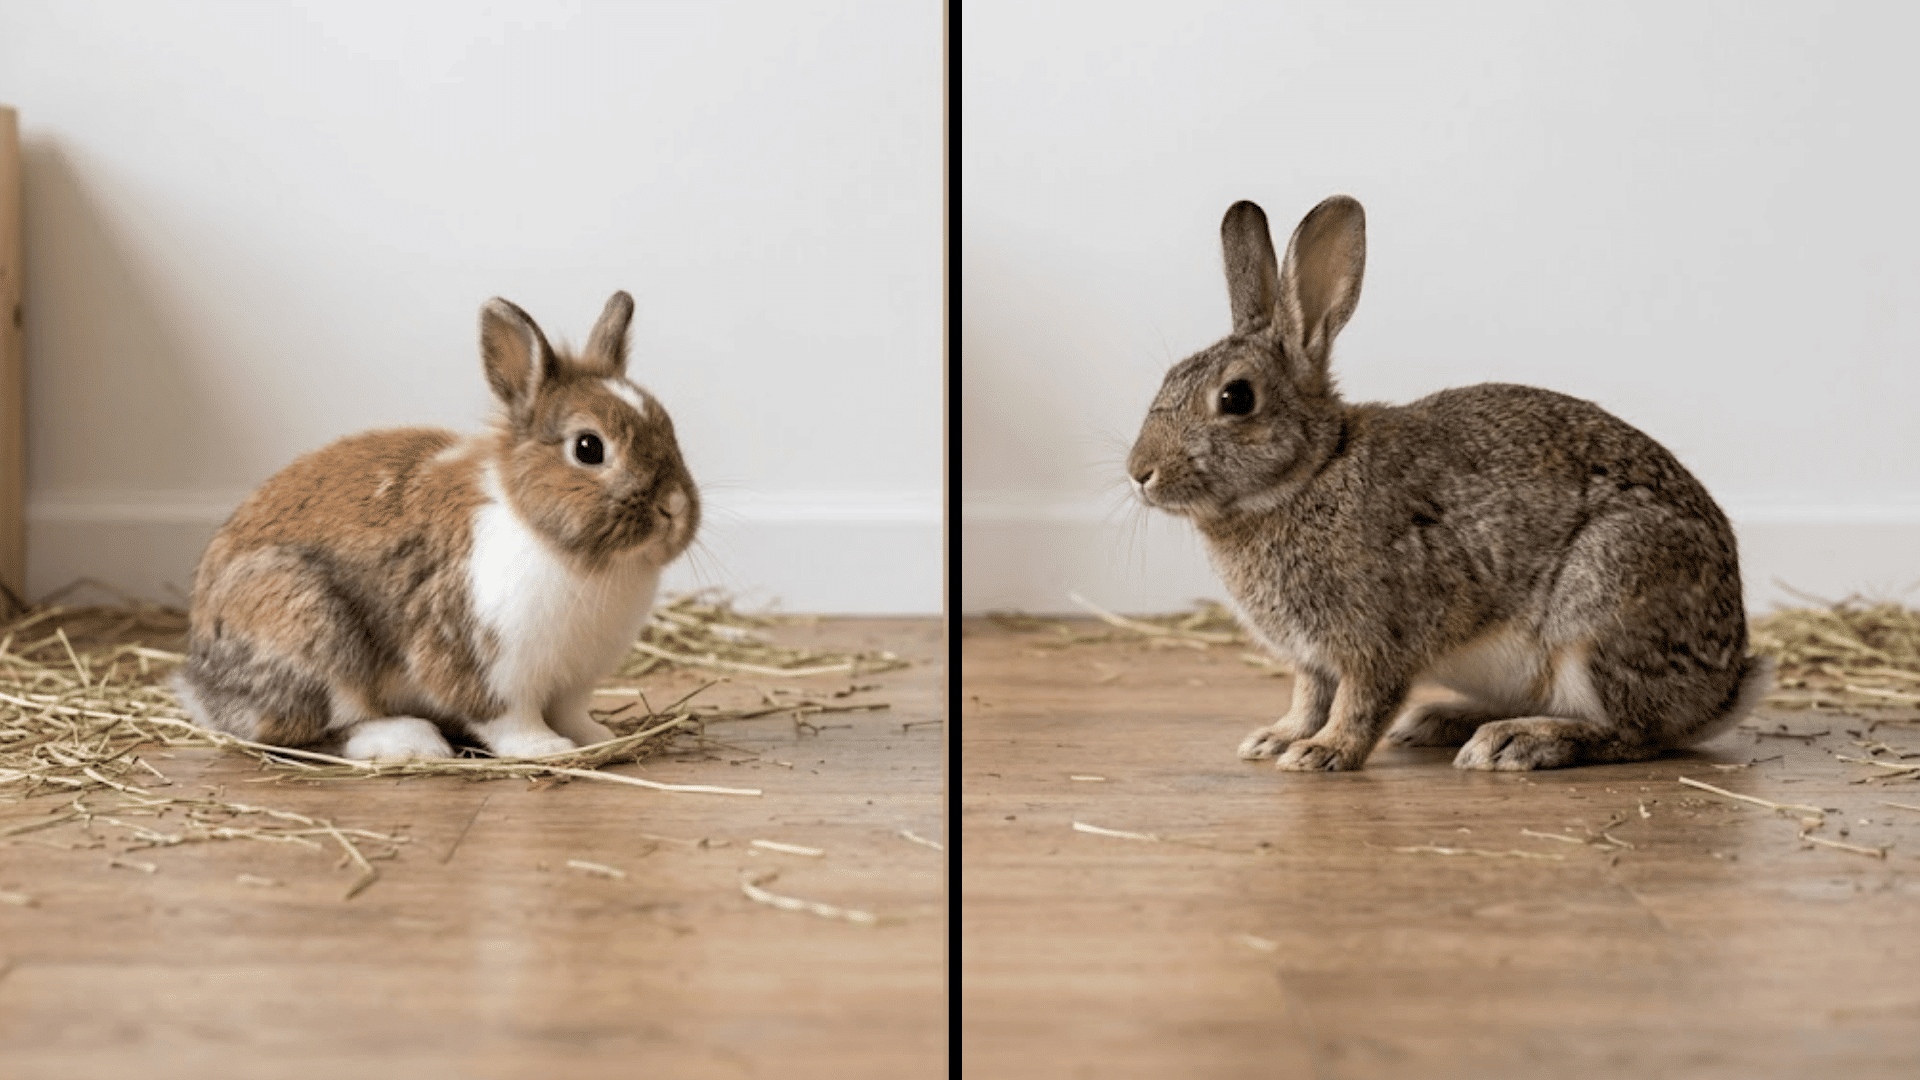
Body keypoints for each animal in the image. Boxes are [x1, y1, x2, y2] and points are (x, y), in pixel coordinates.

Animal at [172, 291, 700, 762]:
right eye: (588, 448)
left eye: (670, 429)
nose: (674, 508)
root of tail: (201, 687)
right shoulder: (484, 664)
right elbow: (509, 719)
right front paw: (545, 749)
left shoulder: (574, 680)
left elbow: (572, 713)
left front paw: (598, 737)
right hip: (311, 633)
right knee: (307, 729)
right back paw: (408, 742)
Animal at [1125, 196, 1772, 771]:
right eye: (1169, 377)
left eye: (1236, 398)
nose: (1139, 473)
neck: (1313, 471)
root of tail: (1722, 689)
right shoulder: (1312, 658)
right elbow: (1307, 697)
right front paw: (1276, 738)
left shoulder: (1377, 637)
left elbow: (1360, 701)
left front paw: (1322, 753)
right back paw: (1441, 721)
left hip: (1602, 607)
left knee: (1634, 734)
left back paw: (1516, 743)